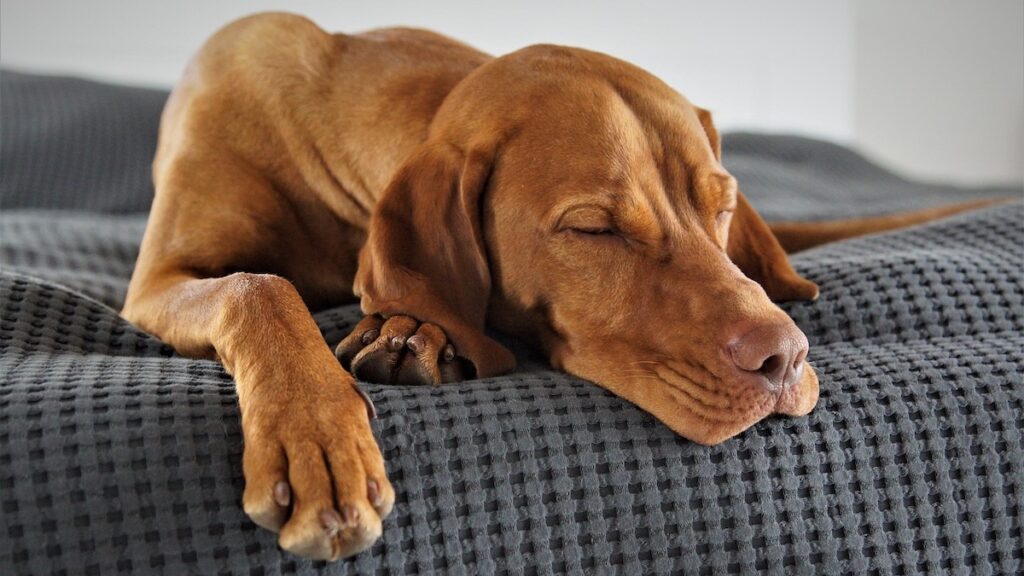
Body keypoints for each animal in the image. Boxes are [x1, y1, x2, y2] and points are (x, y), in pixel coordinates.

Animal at [121, 12, 991, 561]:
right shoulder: (158, 281)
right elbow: (258, 285)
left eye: (721, 203)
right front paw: (317, 442)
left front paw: (410, 331)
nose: (785, 360)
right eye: (594, 229)